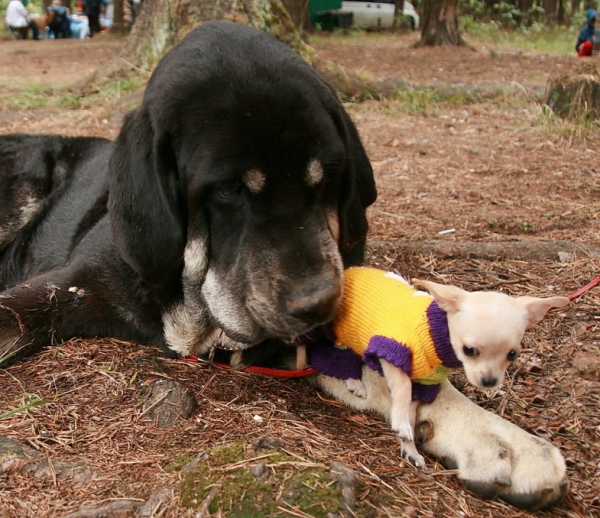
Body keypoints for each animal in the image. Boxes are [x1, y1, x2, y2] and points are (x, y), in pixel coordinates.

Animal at [326, 270, 568, 470]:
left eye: (513, 355)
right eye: (469, 350)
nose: (490, 381)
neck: (434, 333)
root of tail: (352, 269)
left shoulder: (424, 384)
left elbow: (412, 414)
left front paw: (409, 448)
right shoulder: (392, 352)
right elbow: (403, 388)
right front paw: (401, 422)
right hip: (341, 335)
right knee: (341, 355)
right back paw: (354, 381)